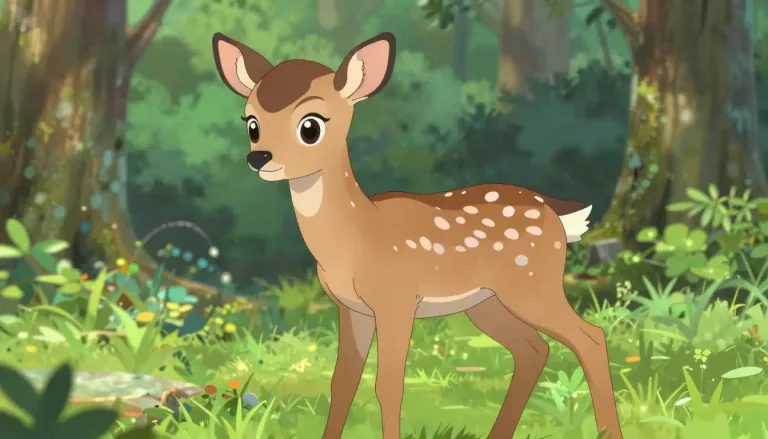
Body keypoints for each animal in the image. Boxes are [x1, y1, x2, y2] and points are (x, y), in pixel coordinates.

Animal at [212, 31, 624, 439]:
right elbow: (342, 381)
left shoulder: (397, 299)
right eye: (251, 123)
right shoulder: (351, 308)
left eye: (310, 126)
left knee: (590, 338)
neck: (355, 238)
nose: (259, 157)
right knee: (533, 349)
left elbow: (389, 384)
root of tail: (557, 212)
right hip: (486, 302)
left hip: (533, 284)